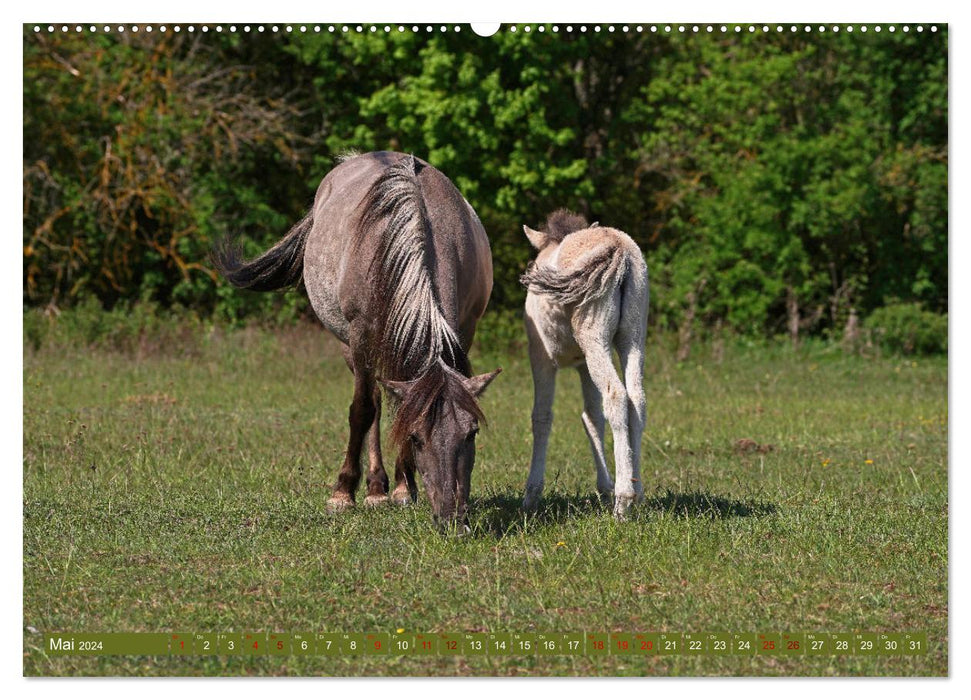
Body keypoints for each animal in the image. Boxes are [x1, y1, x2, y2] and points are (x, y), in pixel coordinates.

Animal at [215, 150, 498, 528]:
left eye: (472, 433)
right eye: (417, 438)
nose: (452, 518)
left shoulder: (465, 328)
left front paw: (404, 487)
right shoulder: (362, 333)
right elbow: (362, 410)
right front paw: (343, 492)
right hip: (351, 344)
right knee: (374, 400)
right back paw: (375, 487)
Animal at [520, 211, 648, 516]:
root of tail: (618, 248)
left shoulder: (541, 357)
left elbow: (541, 416)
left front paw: (531, 495)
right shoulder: (582, 365)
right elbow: (592, 417)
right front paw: (604, 488)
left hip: (595, 340)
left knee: (616, 395)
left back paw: (623, 502)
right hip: (632, 338)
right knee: (637, 399)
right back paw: (636, 492)